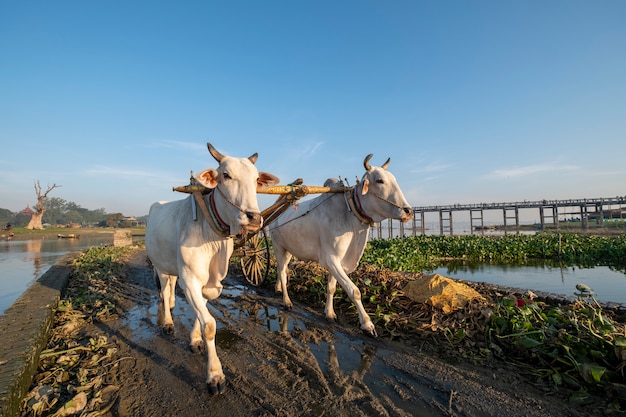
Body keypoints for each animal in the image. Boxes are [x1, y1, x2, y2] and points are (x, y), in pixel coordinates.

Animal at [145, 144, 276, 394]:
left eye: (256, 179)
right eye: (226, 175)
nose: (254, 218)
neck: (213, 236)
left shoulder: (210, 283)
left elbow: (202, 313)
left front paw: (195, 340)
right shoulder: (190, 279)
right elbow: (210, 325)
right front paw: (215, 376)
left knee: (170, 288)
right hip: (160, 266)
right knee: (164, 291)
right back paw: (167, 322)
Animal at [266, 154, 410, 336]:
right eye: (380, 180)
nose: (408, 211)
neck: (351, 217)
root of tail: (276, 214)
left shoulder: (338, 261)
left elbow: (331, 288)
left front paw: (329, 313)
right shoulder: (330, 259)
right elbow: (354, 291)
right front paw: (367, 324)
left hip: (289, 250)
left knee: (282, 270)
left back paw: (278, 288)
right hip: (277, 246)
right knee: (282, 272)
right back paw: (286, 301)